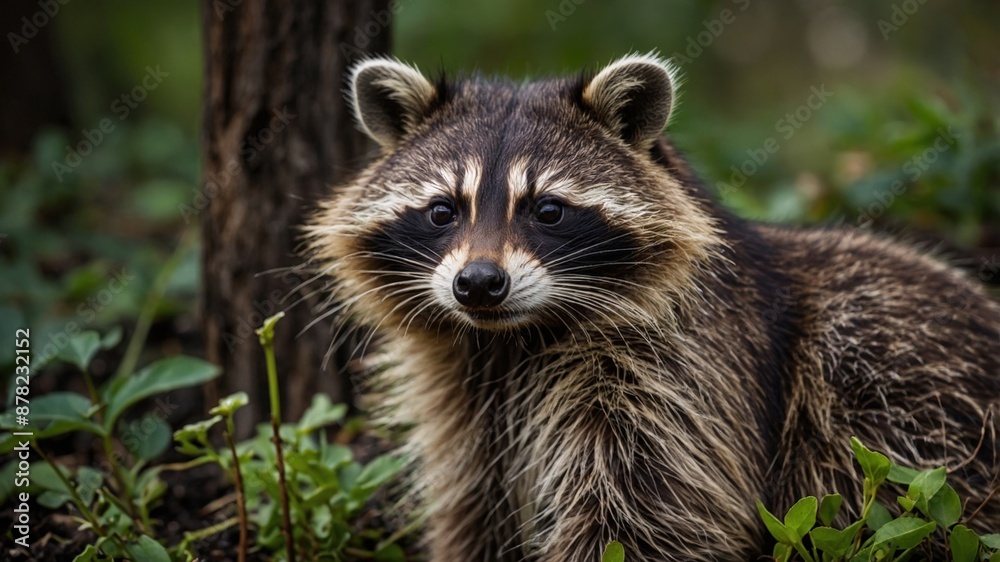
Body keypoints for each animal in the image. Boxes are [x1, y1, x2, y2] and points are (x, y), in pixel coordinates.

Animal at [306, 54, 1000, 560]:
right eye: (442, 211)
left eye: (548, 210)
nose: (478, 284)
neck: (513, 341)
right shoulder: (464, 404)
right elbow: (475, 510)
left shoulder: (688, 376)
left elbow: (649, 519)